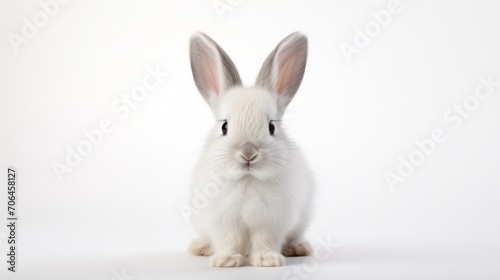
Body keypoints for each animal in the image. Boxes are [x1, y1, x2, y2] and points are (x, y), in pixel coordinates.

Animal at [188, 32, 316, 266]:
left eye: (271, 127)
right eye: (224, 126)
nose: (248, 155)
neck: (248, 180)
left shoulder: (270, 222)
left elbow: (264, 241)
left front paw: (268, 260)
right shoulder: (225, 221)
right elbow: (228, 240)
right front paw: (226, 260)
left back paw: (297, 248)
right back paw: (201, 248)